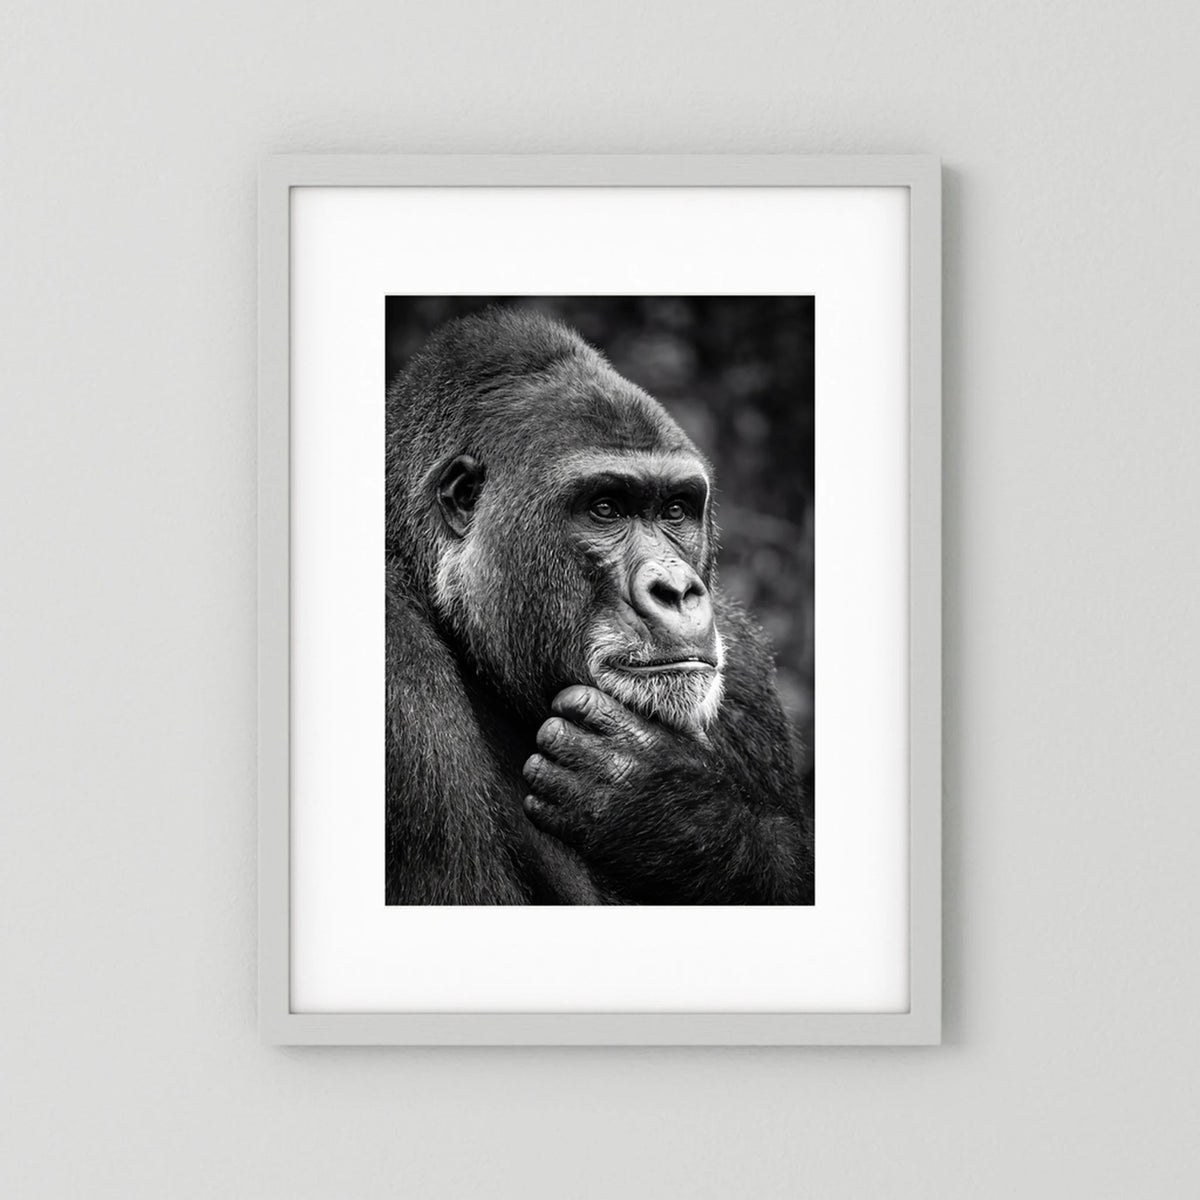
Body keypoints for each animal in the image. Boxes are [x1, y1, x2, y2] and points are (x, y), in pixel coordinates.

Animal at [385, 308, 813, 904]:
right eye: (605, 509)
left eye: (675, 509)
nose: (676, 590)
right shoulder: (397, 673)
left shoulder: (746, 667)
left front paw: (672, 806)